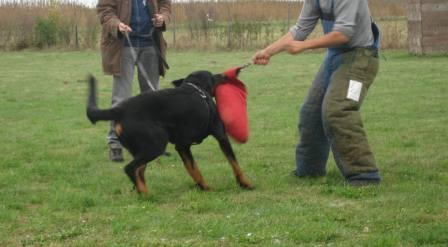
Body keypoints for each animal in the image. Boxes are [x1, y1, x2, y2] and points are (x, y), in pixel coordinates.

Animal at [86, 70, 252, 194]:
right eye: (212, 76)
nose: (224, 76)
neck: (197, 88)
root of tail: (120, 110)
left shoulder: (182, 146)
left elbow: (193, 169)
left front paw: (204, 187)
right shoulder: (221, 136)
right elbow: (234, 164)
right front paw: (245, 183)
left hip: (143, 149)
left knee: (139, 171)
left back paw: (141, 191)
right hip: (155, 145)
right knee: (130, 168)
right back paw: (146, 194)